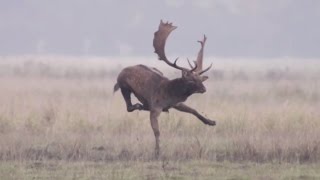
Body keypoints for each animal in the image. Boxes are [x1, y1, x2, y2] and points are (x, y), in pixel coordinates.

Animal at [114, 20, 216, 158]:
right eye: (191, 80)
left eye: (200, 79)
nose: (204, 89)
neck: (170, 93)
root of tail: (122, 71)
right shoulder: (156, 107)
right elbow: (157, 132)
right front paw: (157, 152)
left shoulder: (175, 103)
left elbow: (193, 110)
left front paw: (211, 121)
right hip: (124, 86)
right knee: (129, 107)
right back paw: (139, 105)